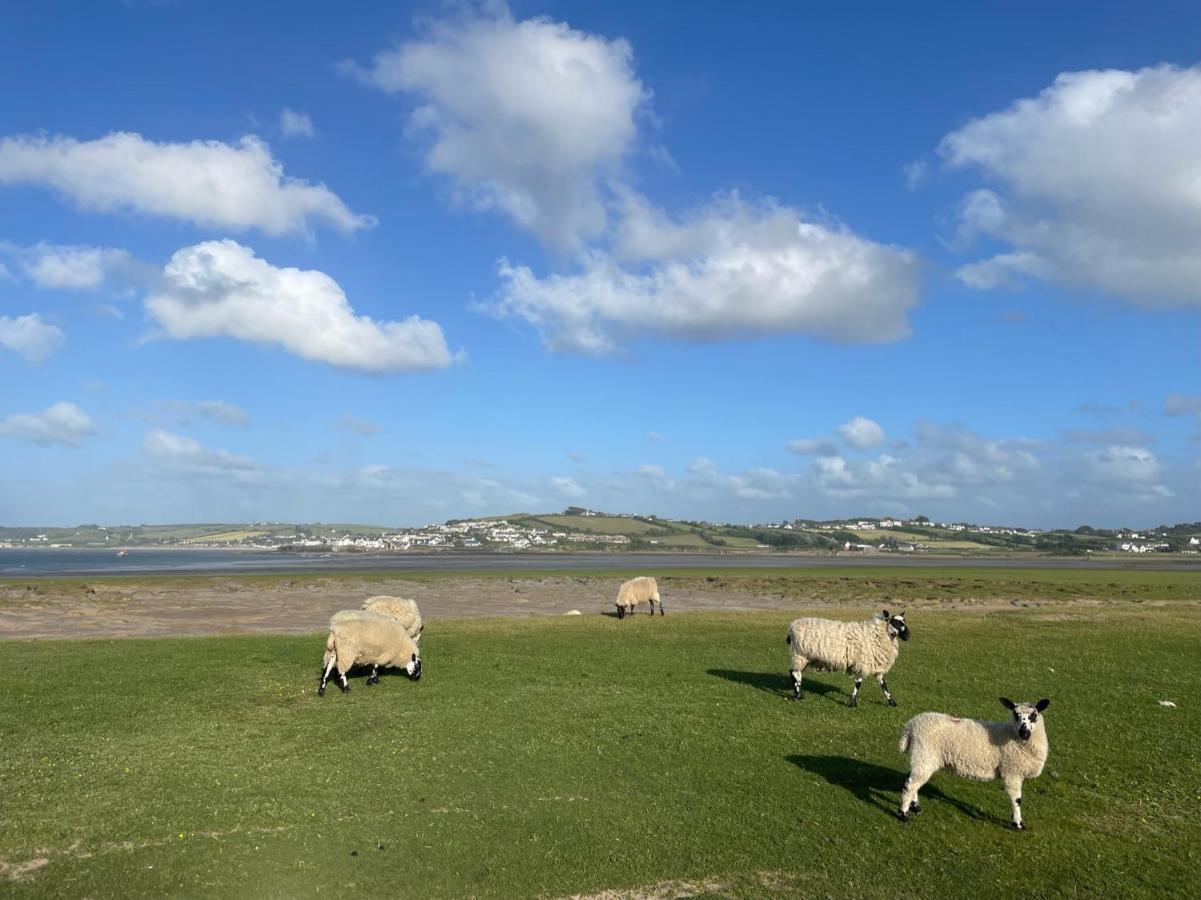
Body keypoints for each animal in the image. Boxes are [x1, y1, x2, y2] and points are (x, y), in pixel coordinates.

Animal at [903, 696, 1052, 826]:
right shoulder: (1012, 771)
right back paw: (903, 813)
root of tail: (910, 726)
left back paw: (915, 806)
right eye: (1015, 714)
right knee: (911, 784)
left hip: (920, 756)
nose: (1024, 732)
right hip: (925, 755)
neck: (1013, 736)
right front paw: (1018, 823)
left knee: (912, 780)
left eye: (1034, 715)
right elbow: (1017, 800)